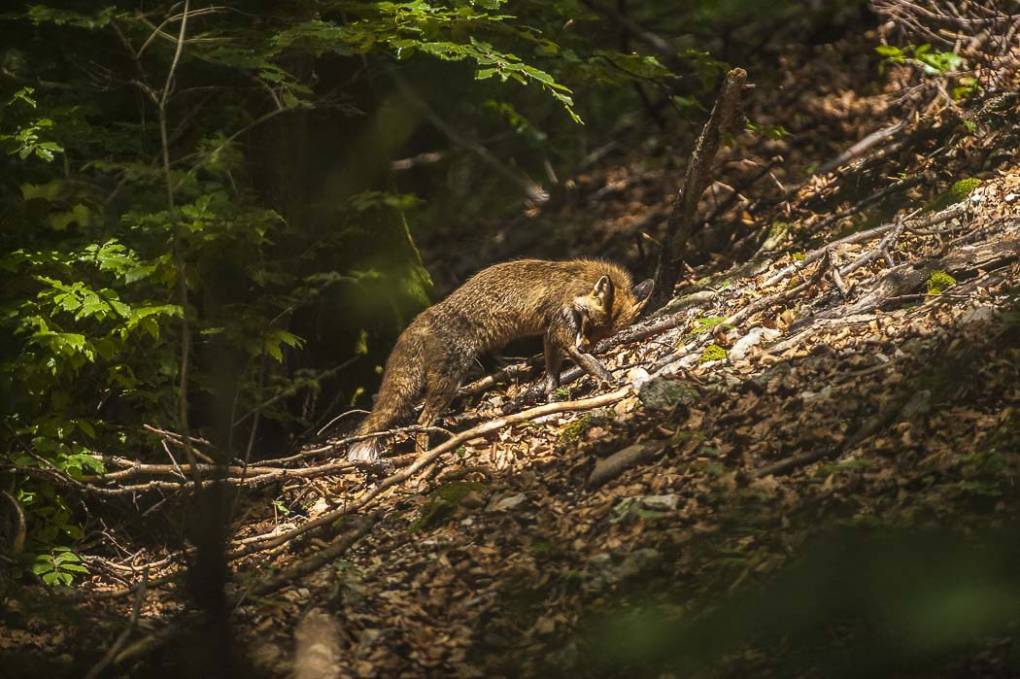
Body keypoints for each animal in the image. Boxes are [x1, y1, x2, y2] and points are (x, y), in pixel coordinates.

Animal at [346, 256, 648, 462]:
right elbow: (588, 364)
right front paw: (611, 380)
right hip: (450, 379)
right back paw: (425, 456)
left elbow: (552, 375)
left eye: (599, 333)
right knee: (422, 420)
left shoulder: (550, 335)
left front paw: (553, 401)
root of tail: (424, 315)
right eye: (588, 324)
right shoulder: (561, 330)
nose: (585, 344)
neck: (573, 284)